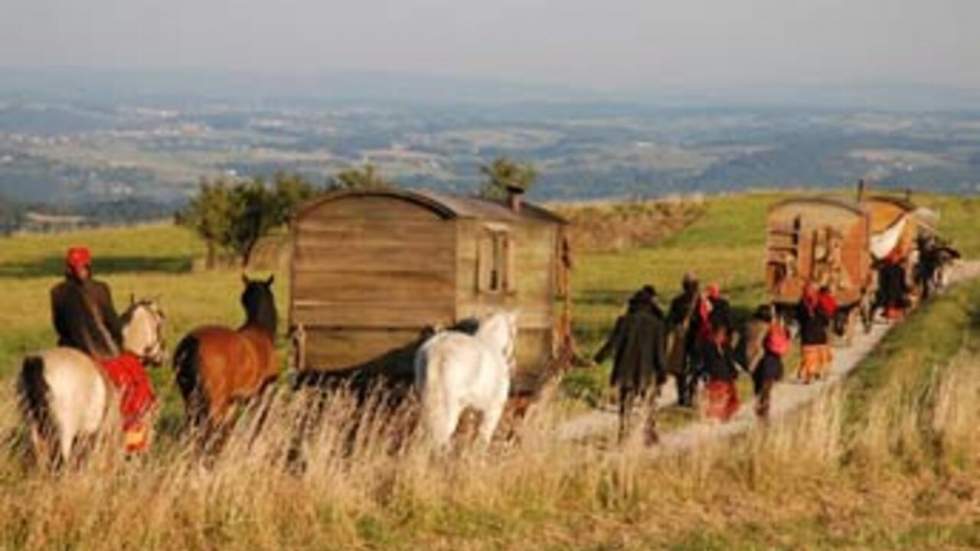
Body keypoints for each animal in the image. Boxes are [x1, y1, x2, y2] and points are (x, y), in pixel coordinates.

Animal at [172, 274, 278, 434]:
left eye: (243, 298)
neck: (261, 329)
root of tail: (191, 342)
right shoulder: (261, 393)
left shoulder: (233, 401)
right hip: (215, 402)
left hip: (190, 398)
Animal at [414, 310, 520, 448]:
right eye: (514, 332)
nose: (512, 363)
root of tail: (438, 351)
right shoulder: (494, 407)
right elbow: (484, 434)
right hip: (450, 405)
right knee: (444, 432)